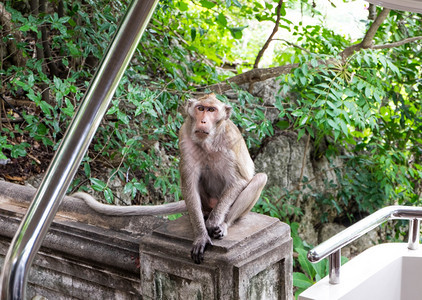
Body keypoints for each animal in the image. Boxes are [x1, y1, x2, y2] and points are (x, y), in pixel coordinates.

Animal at [73, 92, 268, 264]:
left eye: (212, 110)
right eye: (200, 108)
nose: (203, 120)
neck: (209, 142)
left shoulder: (229, 141)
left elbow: (239, 180)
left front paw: (214, 223)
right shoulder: (184, 135)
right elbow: (189, 184)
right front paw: (201, 236)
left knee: (260, 178)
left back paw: (223, 224)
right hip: (205, 202)